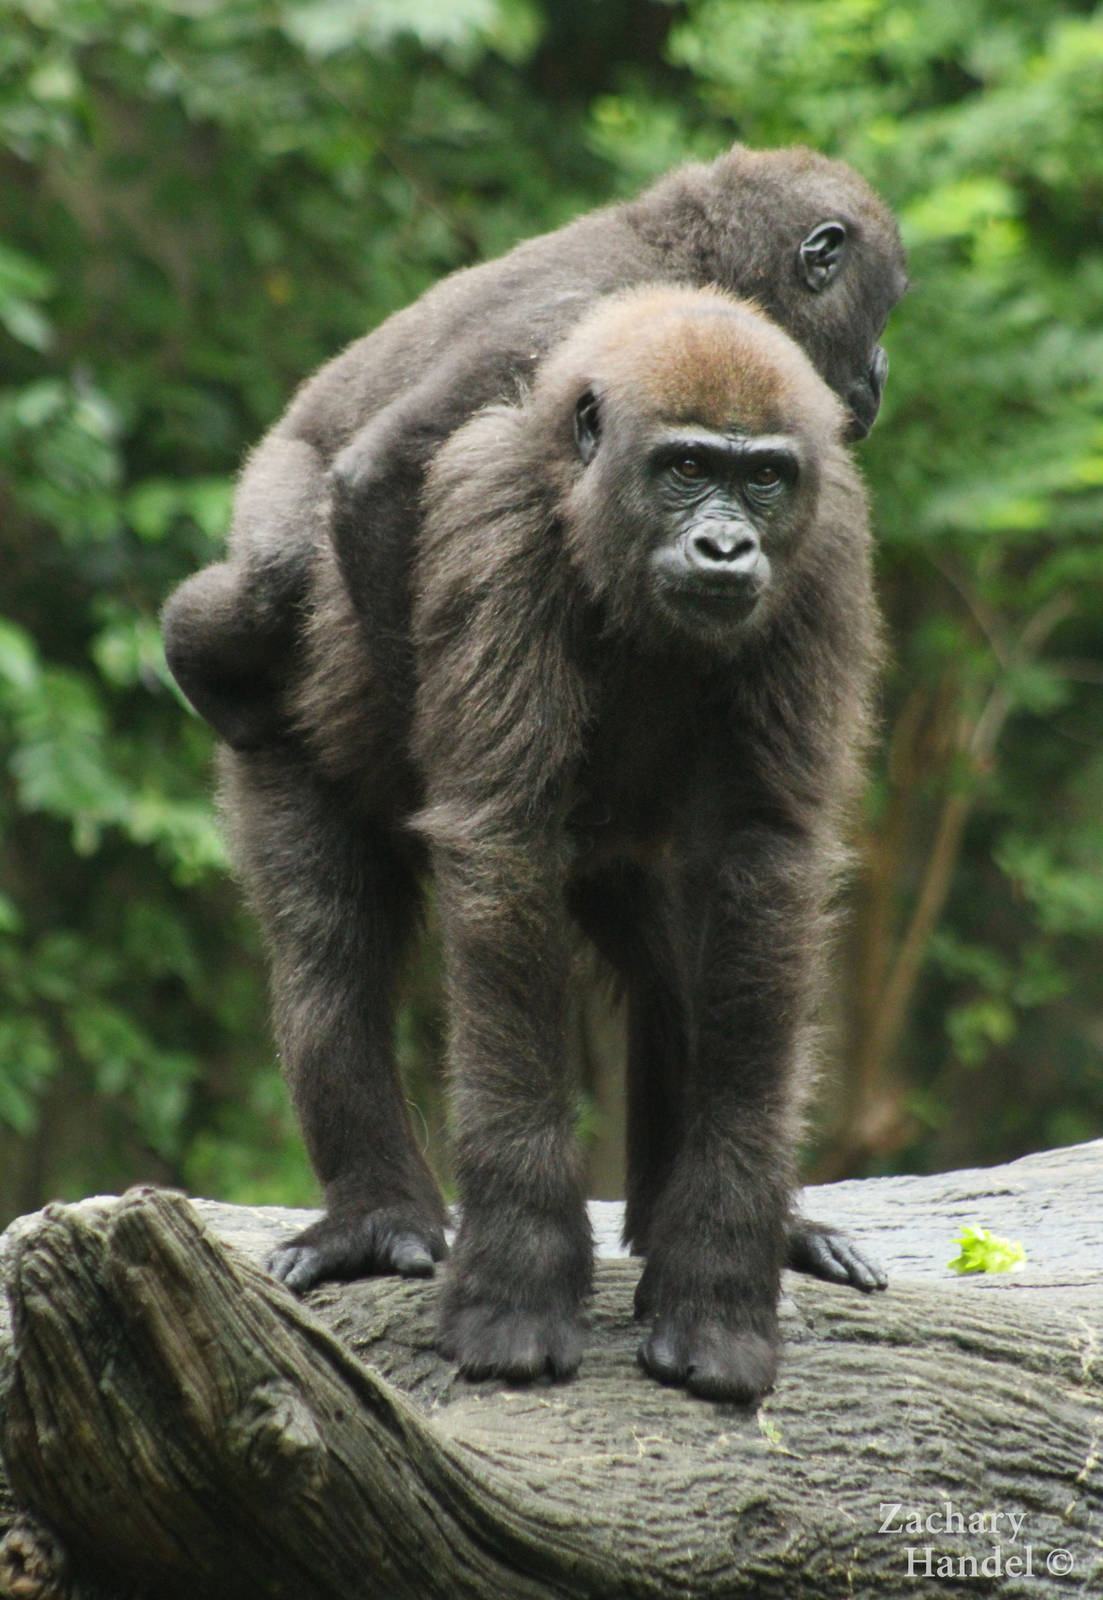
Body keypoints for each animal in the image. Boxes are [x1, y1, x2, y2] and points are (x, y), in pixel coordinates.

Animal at [162, 142, 906, 753]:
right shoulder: (564, 326)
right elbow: (385, 472)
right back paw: (195, 651)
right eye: (884, 310)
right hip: (275, 472)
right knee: (280, 572)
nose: (880, 372)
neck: (689, 254)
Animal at [216, 283, 883, 1400]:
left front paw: (720, 1271)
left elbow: (759, 872)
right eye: (685, 468)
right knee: (328, 946)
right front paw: (520, 1271)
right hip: (266, 709)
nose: (725, 550)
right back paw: (374, 1215)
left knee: (673, 967)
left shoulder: (825, 548)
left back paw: (704, 1223)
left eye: (763, 478)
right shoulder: (499, 523)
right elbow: (502, 859)